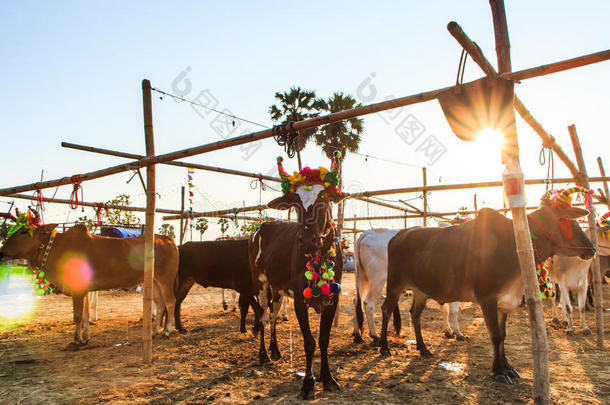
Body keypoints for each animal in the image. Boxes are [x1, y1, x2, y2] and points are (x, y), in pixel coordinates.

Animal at [0, 215, 177, 348]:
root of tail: (169, 240)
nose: (2, 251)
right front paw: (85, 338)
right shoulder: (83, 290)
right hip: (154, 282)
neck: (56, 247)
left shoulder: (77, 290)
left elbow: (78, 316)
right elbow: (85, 315)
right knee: (160, 303)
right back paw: (154, 331)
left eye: (24, 231)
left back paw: (167, 331)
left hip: (166, 280)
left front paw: (76, 340)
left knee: (170, 302)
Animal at [378, 204, 592, 384]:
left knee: (415, 314)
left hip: (421, 290)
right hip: (395, 284)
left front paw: (508, 367)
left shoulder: (504, 302)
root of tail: (397, 236)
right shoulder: (487, 299)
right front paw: (499, 371)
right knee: (386, 309)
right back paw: (384, 346)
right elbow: (495, 336)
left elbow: (503, 335)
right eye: (569, 222)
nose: (592, 248)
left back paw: (423, 348)